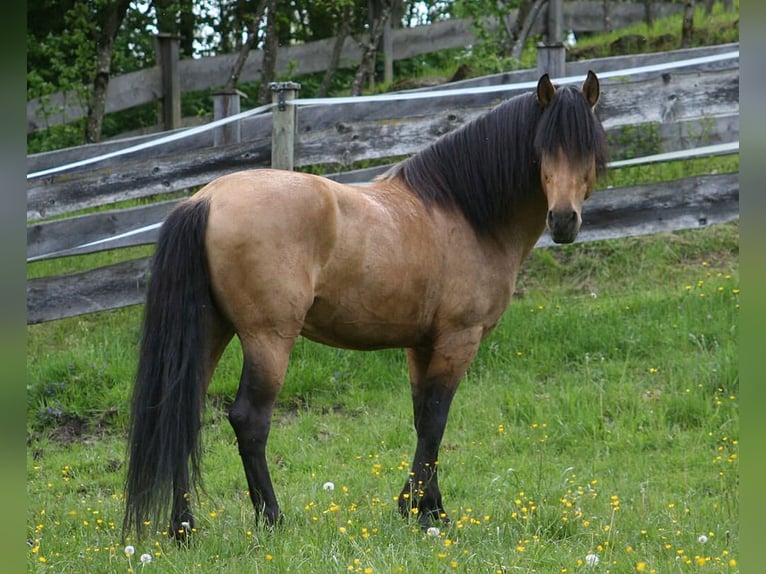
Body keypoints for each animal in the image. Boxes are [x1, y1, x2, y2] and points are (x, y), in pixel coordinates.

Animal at [123, 71, 608, 540]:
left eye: (588, 148)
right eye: (543, 148)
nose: (564, 220)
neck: (463, 213)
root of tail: (205, 199)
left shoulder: (422, 345)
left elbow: (423, 419)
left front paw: (430, 508)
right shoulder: (458, 339)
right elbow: (437, 419)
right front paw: (419, 511)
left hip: (210, 331)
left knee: (180, 415)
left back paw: (183, 528)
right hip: (268, 338)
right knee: (249, 420)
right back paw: (272, 519)